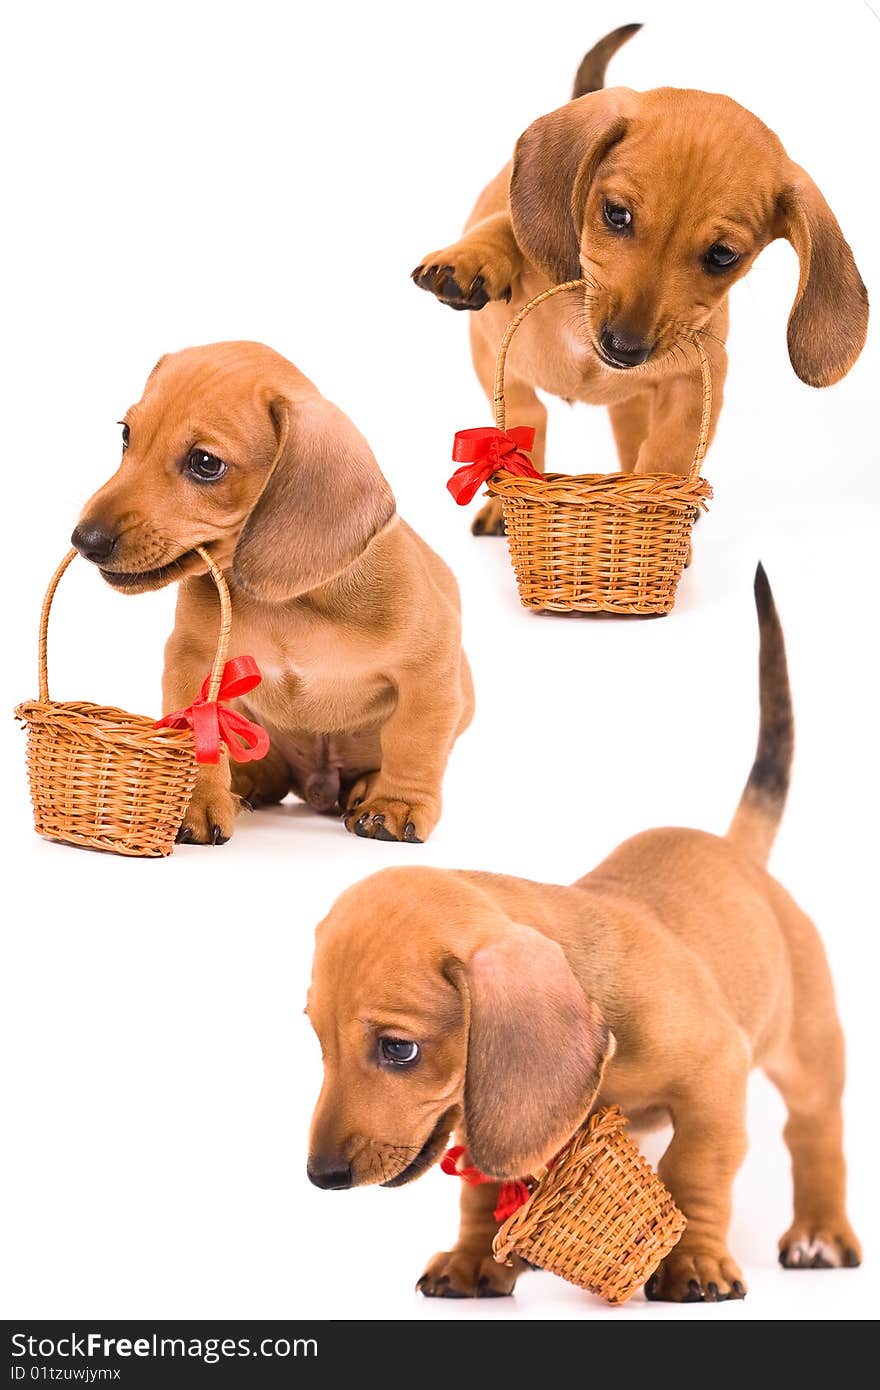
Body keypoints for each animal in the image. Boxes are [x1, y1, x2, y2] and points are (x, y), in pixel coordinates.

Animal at [71, 347, 472, 845]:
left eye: (206, 463)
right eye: (126, 436)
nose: (84, 541)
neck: (288, 606)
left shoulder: (430, 670)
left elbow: (413, 743)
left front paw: (396, 802)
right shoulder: (192, 660)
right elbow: (202, 739)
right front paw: (197, 800)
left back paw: (368, 788)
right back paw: (242, 784)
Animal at [307, 564, 856, 1301]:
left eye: (399, 1050)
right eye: (318, 1040)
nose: (320, 1177)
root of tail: (736, 850)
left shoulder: (717, 1075)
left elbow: (697, 1170)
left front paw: (695, 1261)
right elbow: (484, 1191)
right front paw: (474, 1258)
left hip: (809, 1051)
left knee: (815, 1133)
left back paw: (821, 1232)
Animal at [411, 28, 867, 536]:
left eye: (723, 255)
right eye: (616, 214)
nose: (624, 350)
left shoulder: (696, 381)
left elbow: (666, 451)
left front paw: (652, 510)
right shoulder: (492, 347)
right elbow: (505, 230)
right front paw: (468, 259)